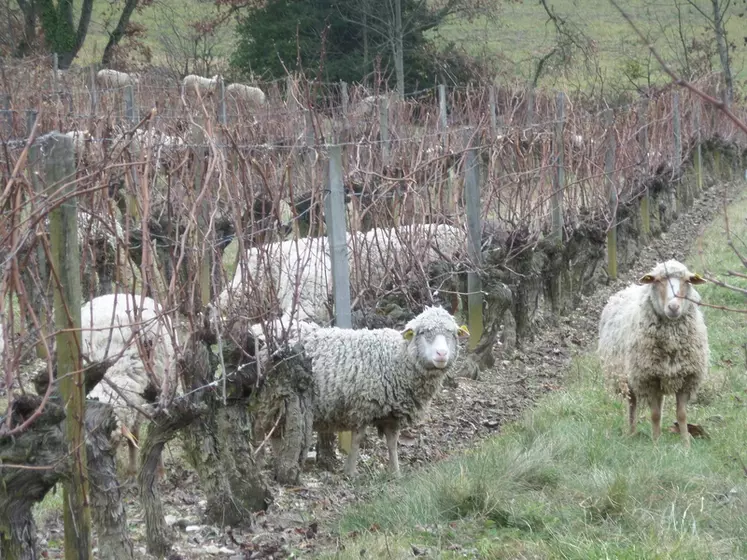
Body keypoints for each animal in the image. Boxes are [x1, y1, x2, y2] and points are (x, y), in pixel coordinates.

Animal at [600, 258, 712, 446]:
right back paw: (631, 433)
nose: (673, 307)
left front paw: (686, 444)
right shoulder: (648, 378)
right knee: (632, 404)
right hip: (629, 377)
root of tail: (627, 288)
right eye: (657, 280)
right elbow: (654, 415)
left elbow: (681, 415)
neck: (672, 342)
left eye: (687, 281)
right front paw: (656, 445)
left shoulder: (686, 378)